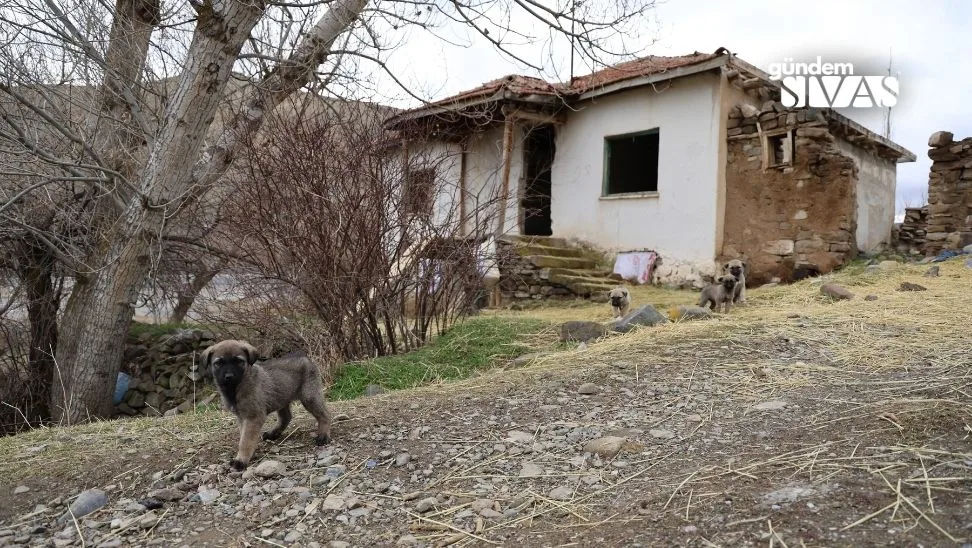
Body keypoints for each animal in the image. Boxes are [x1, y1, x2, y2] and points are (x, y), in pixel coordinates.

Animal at [202, 338, 334, 470]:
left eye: (238, 361)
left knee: (325, 414)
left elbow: (245, 441)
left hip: (309, 396)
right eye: (219, 363)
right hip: (282, 397)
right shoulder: (242, 418)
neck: (236, 388)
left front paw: (241, 460)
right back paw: (273, 433)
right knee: (286, 417)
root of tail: (303, 356)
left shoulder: (253, 417)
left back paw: (323, 435)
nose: (229, 377)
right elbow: (244, 437)